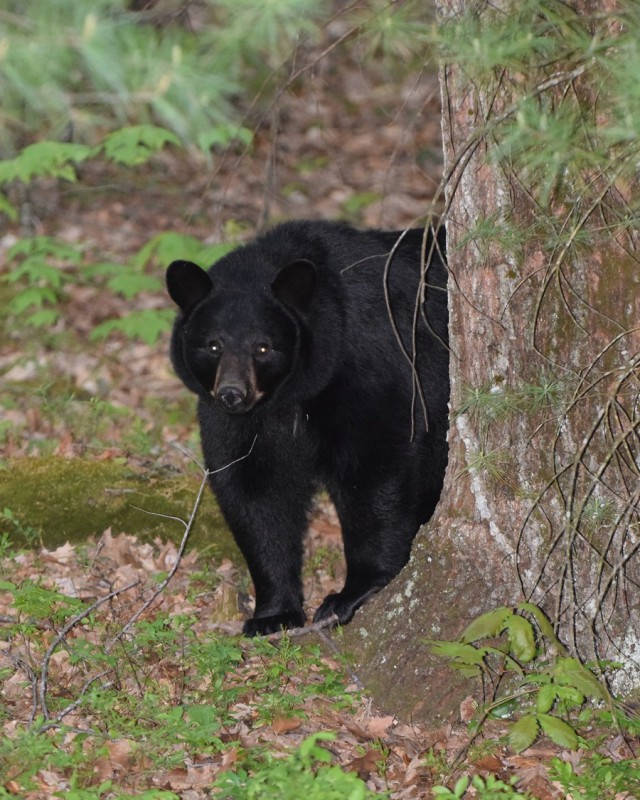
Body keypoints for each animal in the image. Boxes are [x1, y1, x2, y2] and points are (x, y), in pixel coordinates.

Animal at [168, 222, 448, 636]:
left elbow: (374, 469)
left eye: (264, 347)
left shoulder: (373, 366)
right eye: (213, 345)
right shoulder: (237, 422)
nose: (233, 393)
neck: (290, 396)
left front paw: (350, 594)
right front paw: (273, 612)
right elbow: (254, 491)